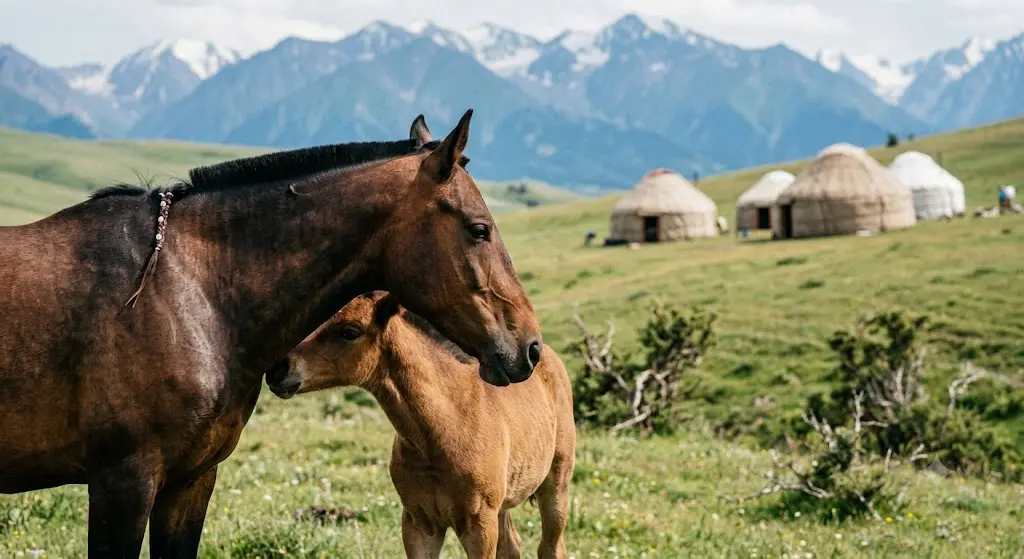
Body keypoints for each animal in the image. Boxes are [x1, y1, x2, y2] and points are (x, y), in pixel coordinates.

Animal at [267, 291, 575, 559]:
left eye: (349, 331)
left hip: (555, 485)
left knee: (551, 548)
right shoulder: (419, 523)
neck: (445, 427)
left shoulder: (478, 524)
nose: (277, 370)